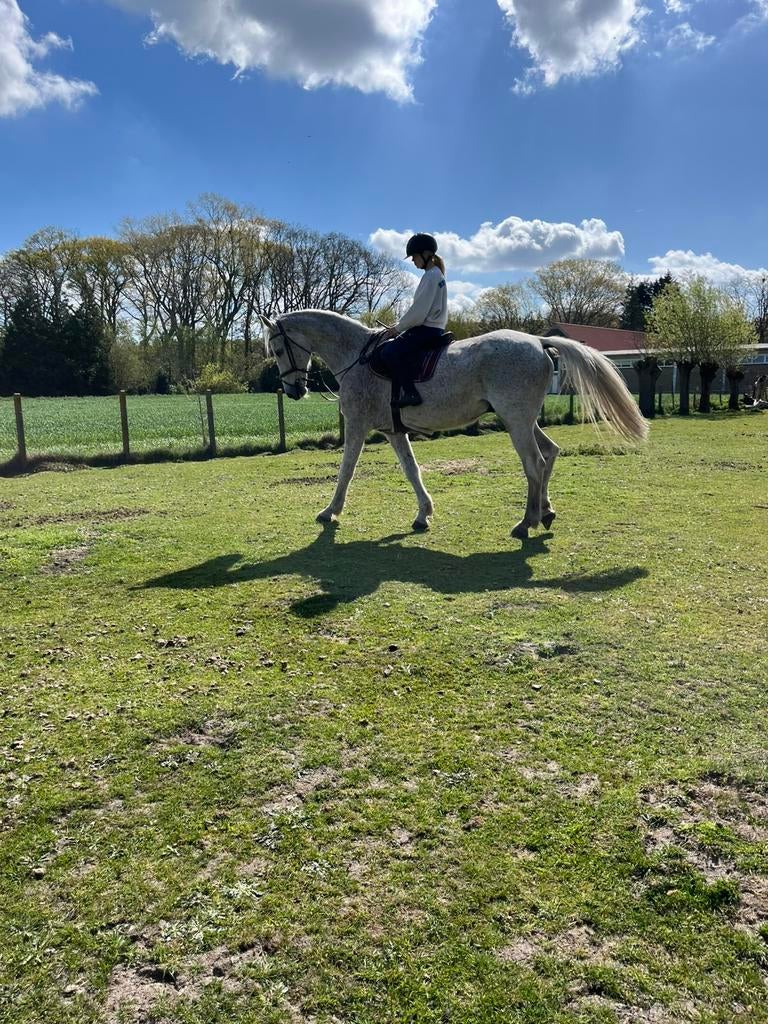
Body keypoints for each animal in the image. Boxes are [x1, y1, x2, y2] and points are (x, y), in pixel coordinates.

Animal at [259, 310, 648, 539]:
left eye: (277, 349)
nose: (294, 390)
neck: (358, 357)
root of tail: (538, 341)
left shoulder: (357, 425)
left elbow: (346, 471)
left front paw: (330, 512)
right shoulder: (393, 430)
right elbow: (411, 469)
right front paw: (423, 514)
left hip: (516, 421)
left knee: (535, 464)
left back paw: (526, 522)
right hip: (522, 420)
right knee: (550, 453)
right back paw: (546, 512)